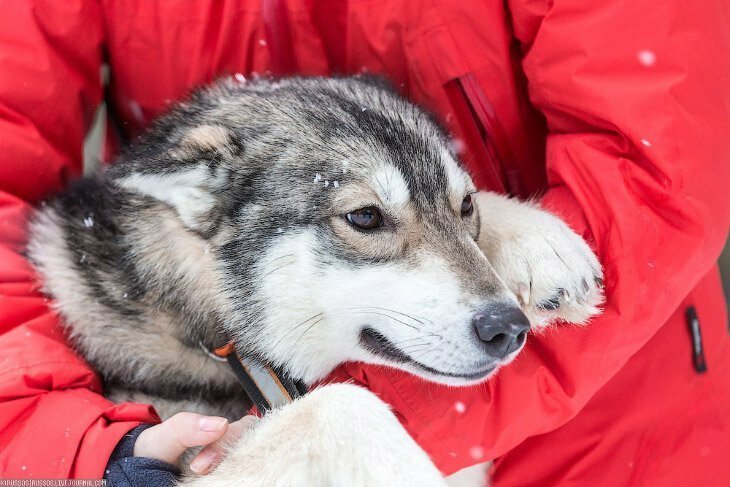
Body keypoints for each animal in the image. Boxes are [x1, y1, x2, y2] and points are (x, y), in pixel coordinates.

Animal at [25, 77, 600, 487]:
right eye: (365, 217)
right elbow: (338, 404)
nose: (508, 327)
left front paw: (540, 243)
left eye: (466, 206)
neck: (220, 343)